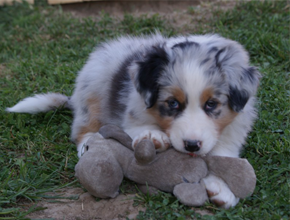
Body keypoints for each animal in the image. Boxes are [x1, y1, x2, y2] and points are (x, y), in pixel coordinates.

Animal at [6, 33, 260, 209]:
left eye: (211, 104)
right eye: (172, 103)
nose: (191, 145)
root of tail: (75, 99)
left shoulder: (233, 128)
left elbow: (223, 154)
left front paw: (221, 189)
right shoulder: (133, 105)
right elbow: (137, 124)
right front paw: (152, 136)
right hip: (94, 86)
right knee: (83, 128)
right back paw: (88, 144)